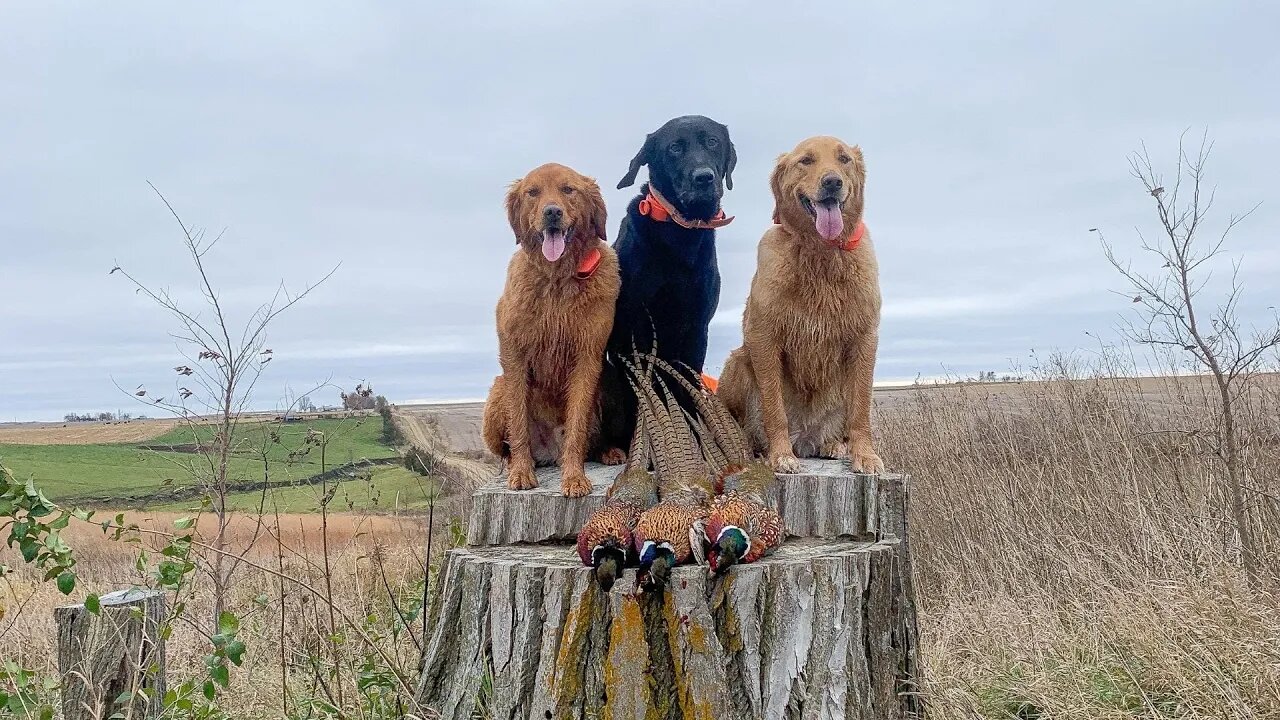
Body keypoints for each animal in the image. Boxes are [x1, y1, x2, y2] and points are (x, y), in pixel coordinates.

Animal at [481, 163, 624, 497]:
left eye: (568, 189)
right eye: (532, 192)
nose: (552, 212)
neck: (557, 279)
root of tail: (549, 452)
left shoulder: (588, 355)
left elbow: (577, 426)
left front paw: (573, 477)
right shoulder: (514, 355)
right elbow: (518, 422)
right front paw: (522, 472)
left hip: (609, 383)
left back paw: (607, 451)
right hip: (496, 394)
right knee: (506, 445)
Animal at [601, 114, 742, 450]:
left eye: (712, 142)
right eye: (675, 148)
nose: (704, 178)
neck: (680, 238)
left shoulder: (697, 328)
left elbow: (687, 386)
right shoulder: (636, 330)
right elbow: (642, 392)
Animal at [716, 136, 885, 474]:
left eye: (844, 159)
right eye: (806, 160)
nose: (832, 182)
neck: (820, 253)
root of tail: (805, 439)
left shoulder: (865, 340)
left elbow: (861, 408)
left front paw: (865, 455)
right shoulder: (763, 338)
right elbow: (774, 407)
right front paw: (780, 454)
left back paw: (833, 445)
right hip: (737, 363)